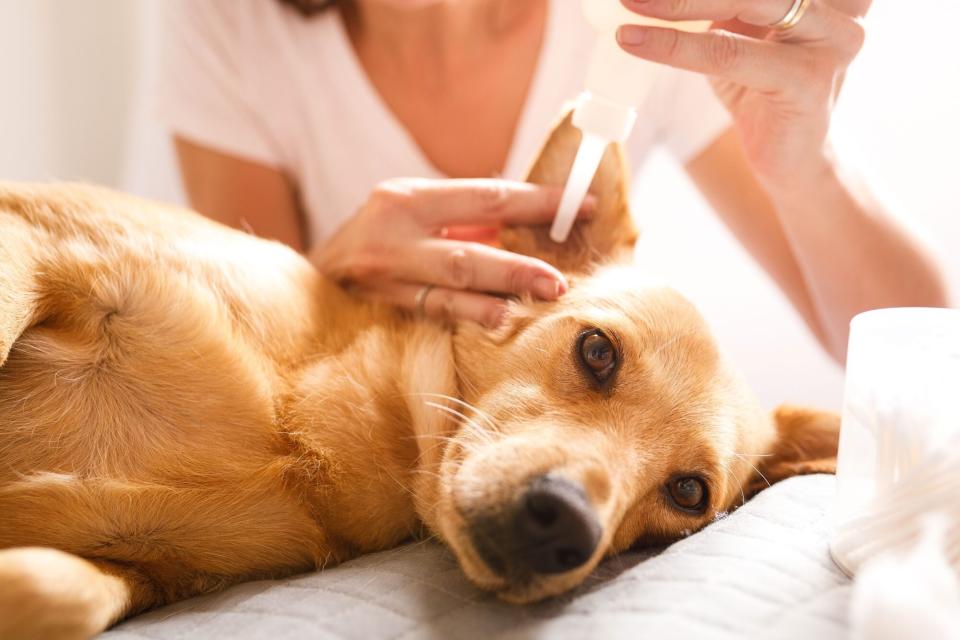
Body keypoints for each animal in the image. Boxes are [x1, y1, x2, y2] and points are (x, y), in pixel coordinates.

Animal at [0, 115, 840, 640]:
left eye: (689, 493)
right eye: (597, 351)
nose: (567, 526)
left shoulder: (151, 573)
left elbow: (60, 591)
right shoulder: (27, 240)